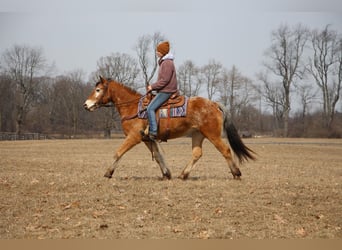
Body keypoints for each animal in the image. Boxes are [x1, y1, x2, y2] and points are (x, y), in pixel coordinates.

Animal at [83, 76, 255, 180]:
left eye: (98, 90)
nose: (86, 105)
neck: (133, 107)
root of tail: (214, 104)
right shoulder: (147, 139)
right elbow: (158, 156)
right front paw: (166, 173)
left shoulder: (134, 137)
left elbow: (118, 152)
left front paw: (108, 173)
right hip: (197, 135)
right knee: (197, 154)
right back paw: (183, 174)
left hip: (213, 135)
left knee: (225, 150)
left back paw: (236, 173)